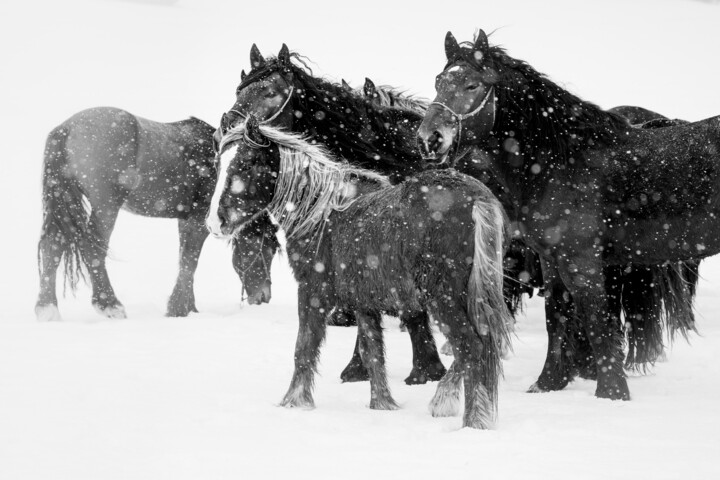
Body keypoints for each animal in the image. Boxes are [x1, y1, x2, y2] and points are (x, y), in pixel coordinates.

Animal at [35, 107, 278, 320]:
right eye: (268, 249)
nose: (264, 297)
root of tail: (66, 128)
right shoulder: (199, 220)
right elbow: (190, 261)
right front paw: (178, 309)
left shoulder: (185, 220)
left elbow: (184, 259)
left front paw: (189, 309)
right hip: (106, 206)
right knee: (92, 248)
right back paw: (110, 306)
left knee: (52, 245)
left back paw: (47, 309)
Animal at [208, 118, 512, 430]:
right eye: (219, 164)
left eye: (248, 162)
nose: (215, 222)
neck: (320, 214)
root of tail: (478, 199)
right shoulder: (365, 302)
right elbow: (372, 352)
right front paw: (382, 404)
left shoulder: (312, 291)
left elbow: (304, 346)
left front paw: (294, 401)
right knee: (484, 344)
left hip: (444, 298)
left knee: (471, 348)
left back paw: (468, 419)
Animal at [416, 28, 716, 400]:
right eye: (439, 81)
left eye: (473, 85)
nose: (429, 139)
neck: (564, 163)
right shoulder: (552, 260)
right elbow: (557, 315)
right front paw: (548, 384)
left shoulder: (583, 262)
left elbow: (599, 323)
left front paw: (612, 394)